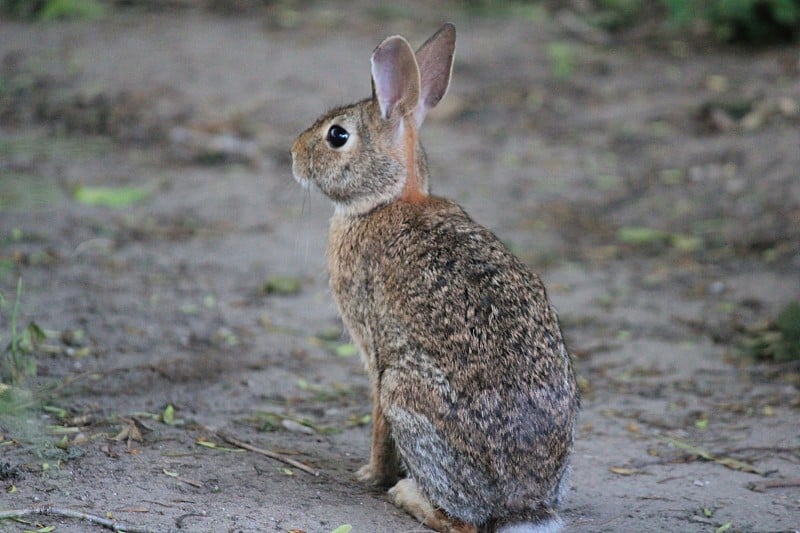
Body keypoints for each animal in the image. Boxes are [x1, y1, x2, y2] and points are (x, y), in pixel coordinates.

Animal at [290, 22, 580, 528]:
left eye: (337, 135)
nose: (292, 155)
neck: (386, 200)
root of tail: (522, 506)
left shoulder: (376, 352)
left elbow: (377, 425)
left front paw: (370, 475)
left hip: (404, 391)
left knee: (459, 519)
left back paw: (407, 494)